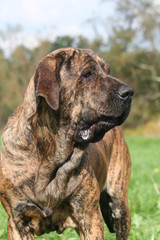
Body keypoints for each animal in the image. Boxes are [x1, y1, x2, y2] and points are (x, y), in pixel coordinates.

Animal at [0, 47, 134, 239]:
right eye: (88, 74)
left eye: (107, 71)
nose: (129, 92)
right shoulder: (17, 221)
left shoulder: (89, 216)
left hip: (119, 204)